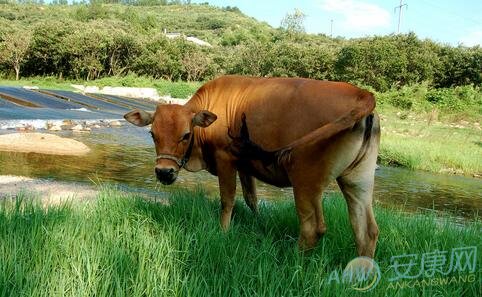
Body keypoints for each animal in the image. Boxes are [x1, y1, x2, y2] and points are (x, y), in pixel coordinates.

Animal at [125, 74, 380, 256]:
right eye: (152, 134)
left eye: (186, 135)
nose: (164, 172)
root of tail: (361, 93)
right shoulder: (244, 166)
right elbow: (251, 198)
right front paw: (259, 223)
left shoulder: (225, 159)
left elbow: (228, 199)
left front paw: (223, 232)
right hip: (358, 180)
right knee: (366, 231)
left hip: (305, 179)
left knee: (312, 229)